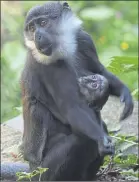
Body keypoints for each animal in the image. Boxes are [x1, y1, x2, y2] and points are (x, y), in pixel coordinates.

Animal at [1, 1, 134, 181]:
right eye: (32, 28)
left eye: (43, 23)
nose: (37, 36)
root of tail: (30, 171)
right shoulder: (48, 65)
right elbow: (71, 107)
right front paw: (102, 140)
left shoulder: (84, 39)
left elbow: (100, 70)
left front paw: (125, 93)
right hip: (43, 172)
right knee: (80, 140)